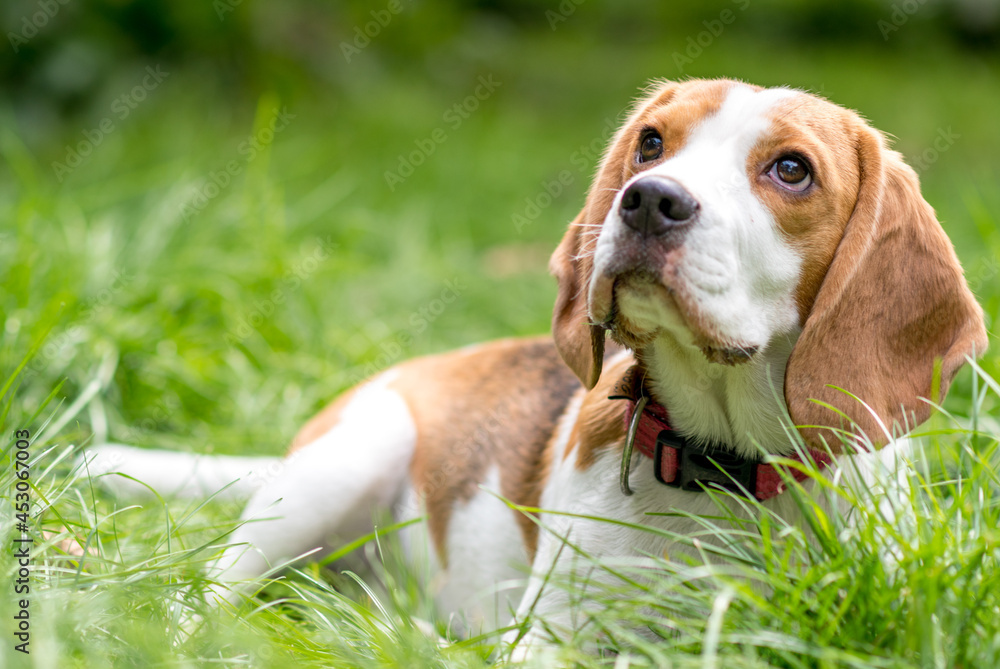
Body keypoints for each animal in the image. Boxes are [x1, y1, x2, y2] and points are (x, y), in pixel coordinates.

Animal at [90, 78, 988, 652]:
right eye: (651, 143)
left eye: (791, 169)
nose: (649, 198)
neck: (725, 471)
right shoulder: (556, 636)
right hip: (346, 460)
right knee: (201, 591)